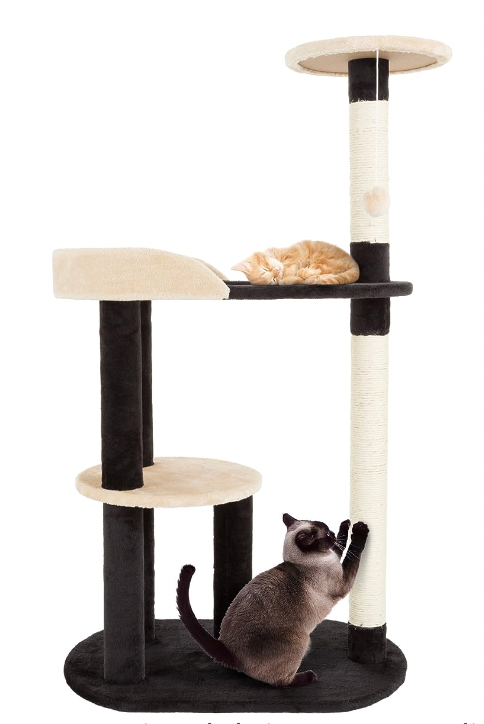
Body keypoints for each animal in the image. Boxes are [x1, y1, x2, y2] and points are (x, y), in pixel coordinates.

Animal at [176, 514, 369, 687]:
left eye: (330, 530)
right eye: (327, 534)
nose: (333, 534)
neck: (302, 562)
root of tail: (229, 651)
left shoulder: (335, 557)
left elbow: (340, 549)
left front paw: (346, 525)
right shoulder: (343, 582)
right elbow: (353, 552)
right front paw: (360, 531)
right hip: (302, 641)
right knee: (280, 682)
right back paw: (308, 677)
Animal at [231, 240, 359, 285]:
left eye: (265, 269)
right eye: (272, 279)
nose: (277, 271)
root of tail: (354, 264)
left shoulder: (292, 256)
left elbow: (289, 271)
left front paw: (292, 277)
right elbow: (283, 281)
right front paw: (292, 279)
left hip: (321, 258)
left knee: (322, 269)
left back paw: (305, 274)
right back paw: (313, 280)